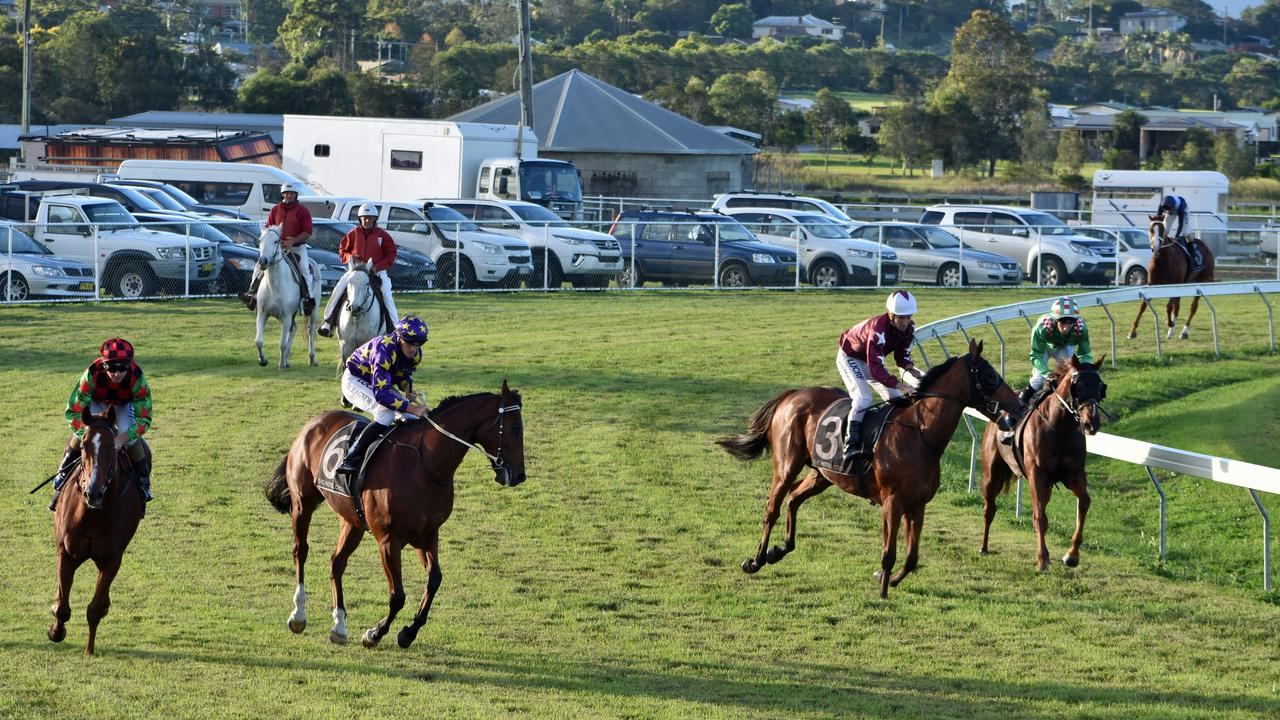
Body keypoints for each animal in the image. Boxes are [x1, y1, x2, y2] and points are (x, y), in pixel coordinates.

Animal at [47, 407, 146, 653]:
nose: (92, 492)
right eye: (83, 446)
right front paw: (56, 631)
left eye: (111, 447)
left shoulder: (112, 559)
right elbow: (62, 606)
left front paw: (89, 650)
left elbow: (94, 609)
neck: (94, 513)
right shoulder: (67, 553)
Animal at [252, 225, 317, 368]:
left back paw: (312, 358)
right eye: (260, 240)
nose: (263, 261)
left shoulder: (286, 317)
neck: (274, 287)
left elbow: (282, 344)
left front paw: (281, 365)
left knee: (310, 331)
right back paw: (287, 359)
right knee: (294, 329)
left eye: (276, 241)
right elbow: (258, 341)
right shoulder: (262, 314)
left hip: (312, 311)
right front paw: (263, 360)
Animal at [264, 384, 524, 648]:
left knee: (336, 562)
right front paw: (374, 633)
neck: (425, 465)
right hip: (303, 503)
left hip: (351, 520)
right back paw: (298, 615)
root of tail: (312, 423)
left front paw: (408, 632)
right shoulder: (389, 539)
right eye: (514, 427)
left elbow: (434, 580)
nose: (519, 476)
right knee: (301, 550)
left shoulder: (427, 534)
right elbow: (397, 595)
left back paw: (339, 626)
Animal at [721, 338, 1018, 597]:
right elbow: (889, 553)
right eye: (990, 376)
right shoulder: (893, 501)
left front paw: (888, 580)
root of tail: (792, 395)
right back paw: (756, 560)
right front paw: (883, 591)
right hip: (786, 467)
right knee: (772, 509)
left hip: (822, 474)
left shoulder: (917, 504)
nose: (1018, 405)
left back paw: (780, 549)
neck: (920, 434)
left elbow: (912, 557)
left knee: (794, 498)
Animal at [983, 353, 1105, 566]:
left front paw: (1072, 555)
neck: (1060, 427)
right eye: (1078, 387)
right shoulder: (1037, 474)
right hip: (992, 473)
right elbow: (1040, 516)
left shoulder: (1073, 474)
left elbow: (1084, 503)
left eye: (1100, 388)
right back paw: (983, 547)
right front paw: (1042, 559)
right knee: (989, 508)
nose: (1092, 423)